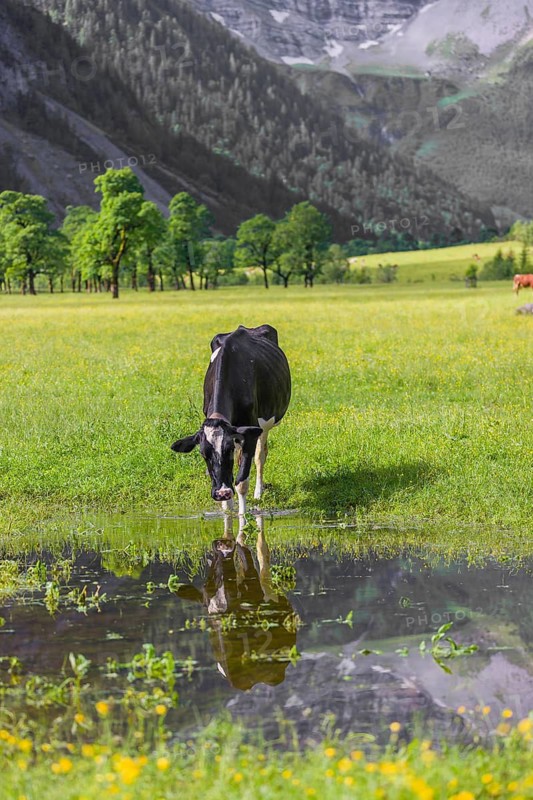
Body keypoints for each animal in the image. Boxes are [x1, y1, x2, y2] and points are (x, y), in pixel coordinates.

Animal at [171, 324, 291, 516]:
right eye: (203, 454)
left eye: (227, 449)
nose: (222, 492)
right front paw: (227, 510)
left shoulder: (249, 433)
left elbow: (242, 481)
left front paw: (242, 516)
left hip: (264, 425)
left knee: (260, 456)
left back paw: (258, 493)